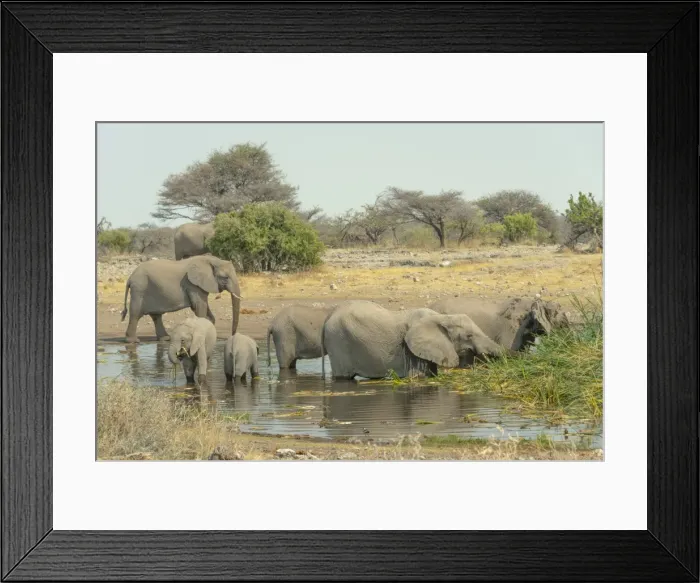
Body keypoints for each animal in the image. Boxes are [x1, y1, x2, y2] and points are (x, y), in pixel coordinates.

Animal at [321, 300, 505, 380]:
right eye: (469, 336)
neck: (441, 317)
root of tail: (328, 317)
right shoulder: (411, 351)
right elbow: (418, 376)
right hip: (338, 341)